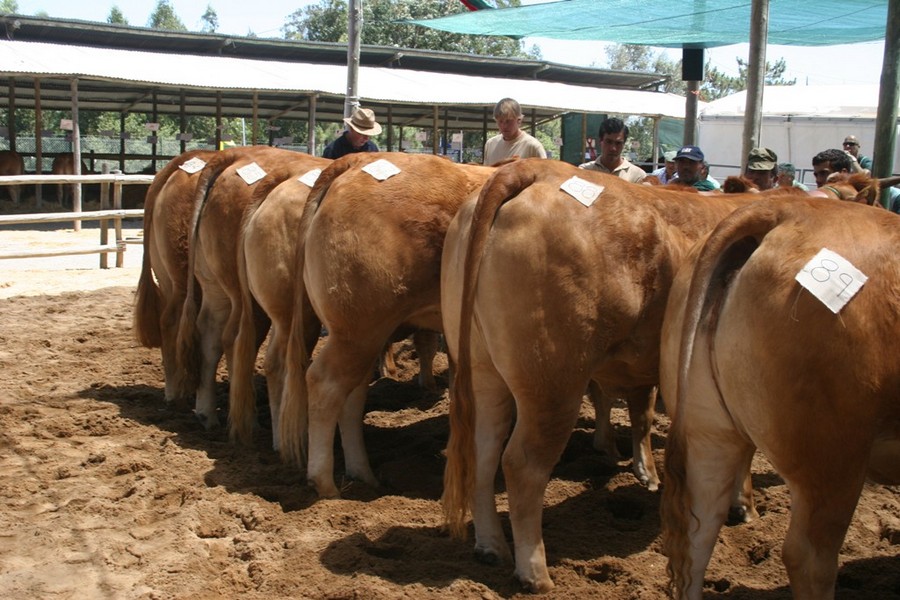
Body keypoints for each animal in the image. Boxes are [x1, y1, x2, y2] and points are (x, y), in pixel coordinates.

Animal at [175, 146, 321, 430]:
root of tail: (235, 155)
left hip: (215, 286)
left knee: (210, 335)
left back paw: (208, 414)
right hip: (255, 300)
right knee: (240, 343)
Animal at [277, 152, 497, 499]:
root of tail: (356, 161)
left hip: (365, 336)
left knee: (351, 397)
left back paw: (362, 475)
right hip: (357, 331)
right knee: (325, 384)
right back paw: (325, 484)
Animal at [440, 158, 781, 593]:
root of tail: (532, 168)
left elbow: (641, 413)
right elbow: (742, 451)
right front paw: (746, 505)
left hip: (484, 370)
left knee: (484, 450)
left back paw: (491, 547)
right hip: (554, 383)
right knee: (522, 463)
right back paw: (535, 573)